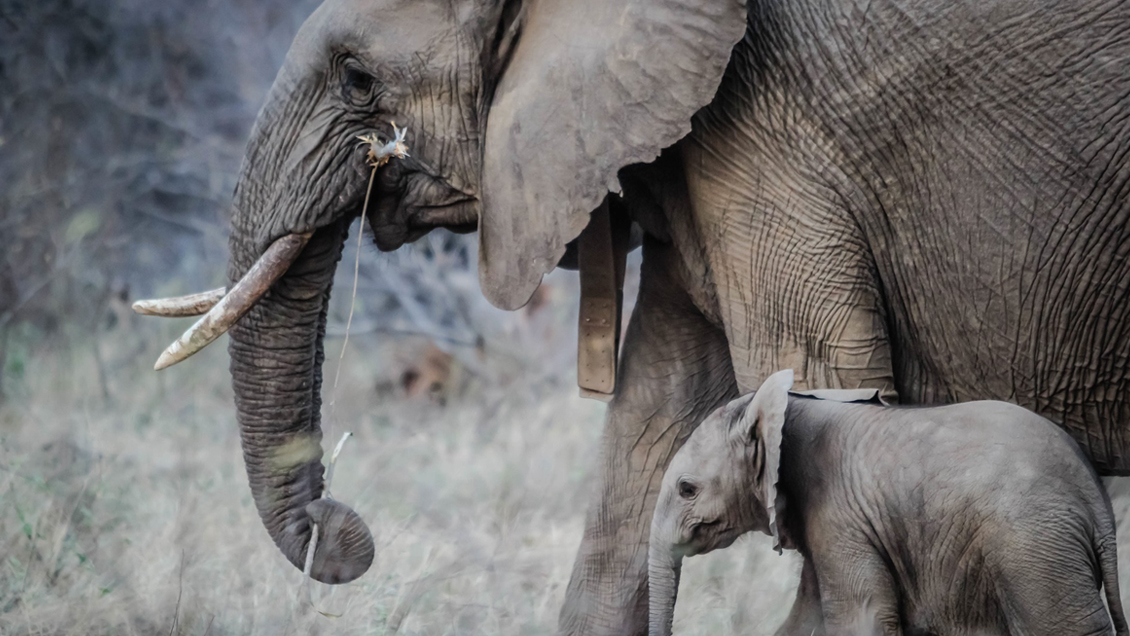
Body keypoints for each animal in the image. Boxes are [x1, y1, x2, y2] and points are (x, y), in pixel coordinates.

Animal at [648, 369, 1129, 636]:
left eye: (687, 489)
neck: (782, 408)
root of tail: (1096, 503)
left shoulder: (840, 516)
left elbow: (861, 619)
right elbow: (806, 621)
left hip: (1033, 550)